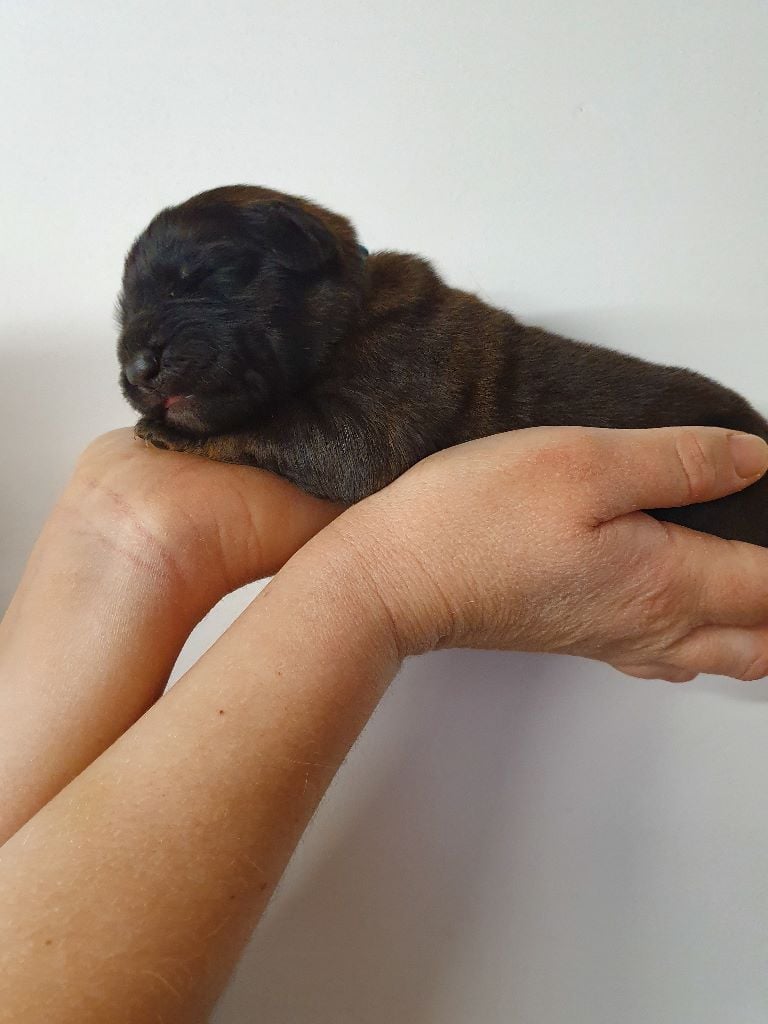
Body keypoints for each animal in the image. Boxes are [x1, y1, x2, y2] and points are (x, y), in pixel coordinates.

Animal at [118, 185, 768, 545]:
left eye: (201, 279)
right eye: (124, 306)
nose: (137, 367)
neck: (352, 313)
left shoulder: (364, 427)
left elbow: (272, 424)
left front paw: (171, 433)